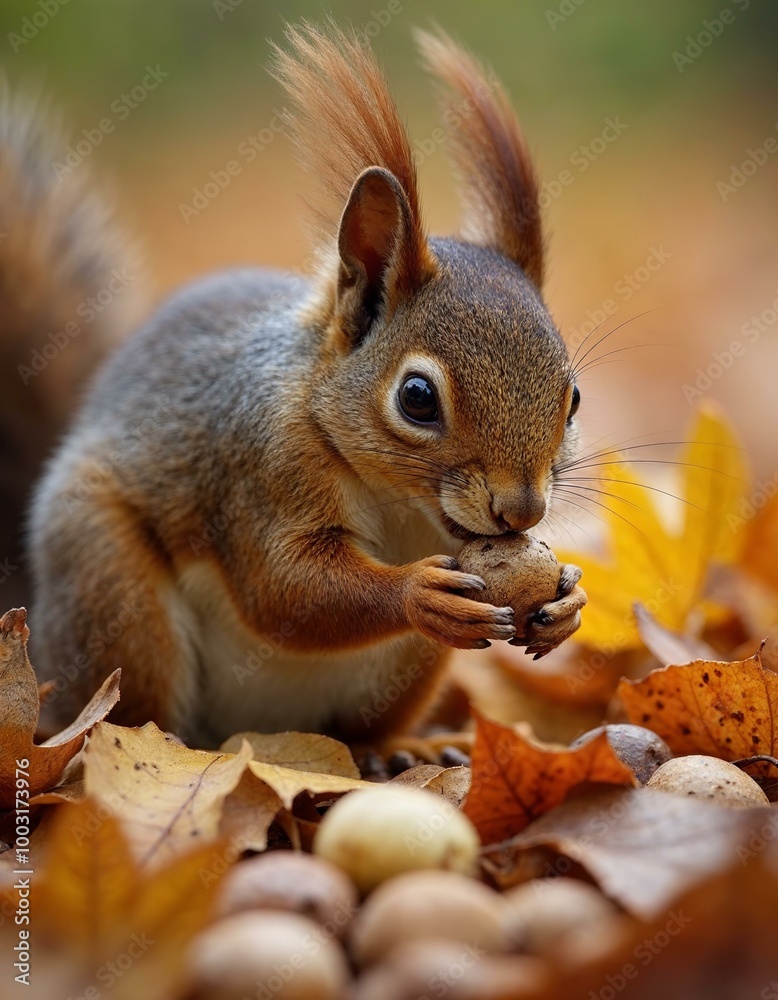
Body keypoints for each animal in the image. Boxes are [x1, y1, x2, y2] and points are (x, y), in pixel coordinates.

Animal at [3, 25, 587, 747]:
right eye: (417, 398)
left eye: (574, 400)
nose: (523, 511)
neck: (402, 505)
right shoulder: (260, 466)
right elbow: (285, 589)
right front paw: (416, 596)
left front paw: (569, 595)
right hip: (109, 584)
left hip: (407, 671)